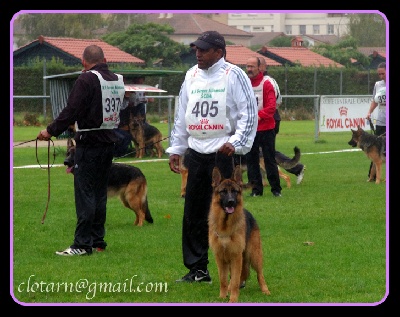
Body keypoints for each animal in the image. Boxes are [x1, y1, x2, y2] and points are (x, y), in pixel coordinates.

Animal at [208, 164, 270, 302]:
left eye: (235, 191)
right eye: (223, 191)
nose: (231, 201)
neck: (225, 226)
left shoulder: (236, 257)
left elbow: (235, 280)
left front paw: (233, 299)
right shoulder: (220, 258)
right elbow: (223, 280)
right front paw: (222, 296)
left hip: (254, 255)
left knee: (260, 274)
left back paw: (265, 290)